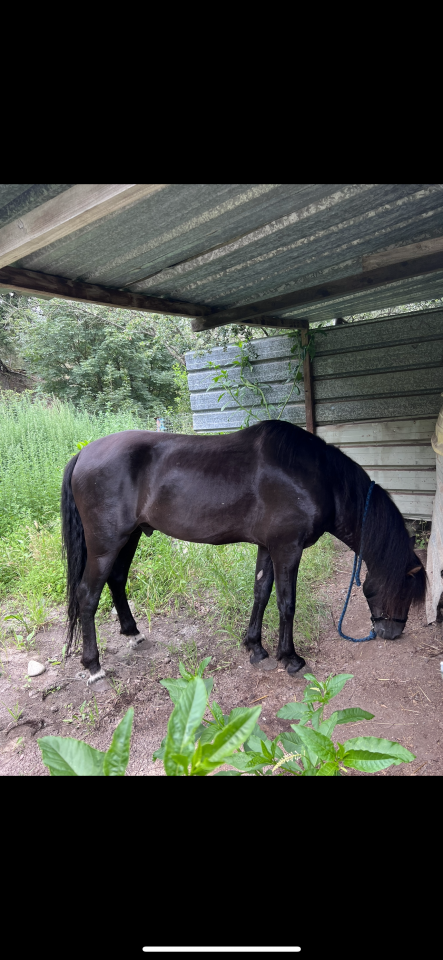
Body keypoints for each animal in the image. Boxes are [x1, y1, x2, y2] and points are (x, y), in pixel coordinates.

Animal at [61, 420, 427, 684]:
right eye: (405, 591)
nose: (393, 633)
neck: (317, 477)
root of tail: (83, 455)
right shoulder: (287, 548)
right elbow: (286, 603)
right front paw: (290, 658)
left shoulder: (268, 546)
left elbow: (260, 593)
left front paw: (255, 647)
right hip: (106, 544)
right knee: (87, 595)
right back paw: (93, 666)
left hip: (129, 537)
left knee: (117, 580)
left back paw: (133, 634)